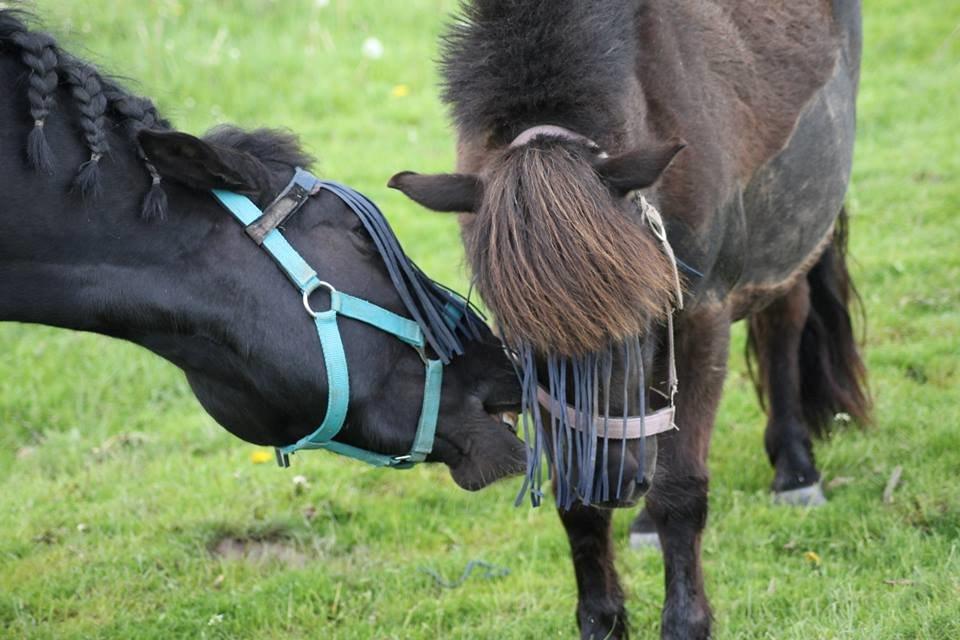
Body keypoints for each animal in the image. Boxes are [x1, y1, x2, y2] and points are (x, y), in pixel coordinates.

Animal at [390, 1, 872, 640]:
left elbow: (681, 491)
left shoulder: (699, 320)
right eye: (520, 336)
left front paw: (687, 623)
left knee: (784, 323)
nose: (613, 480)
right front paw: (602, 619)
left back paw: (795, 473)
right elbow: (577, 504)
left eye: (643, 313)